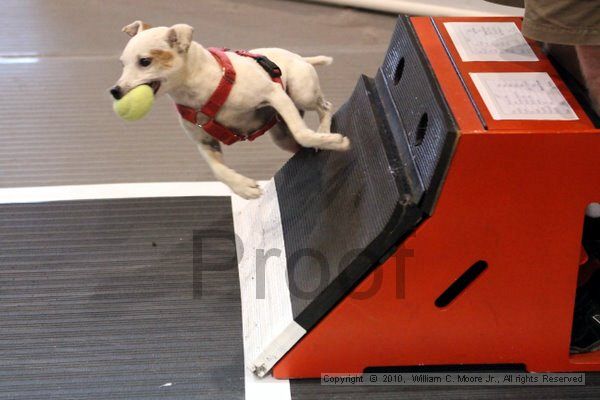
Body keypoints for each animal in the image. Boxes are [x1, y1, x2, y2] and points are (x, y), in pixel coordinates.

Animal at [111, 21, 352, 199]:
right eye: (122, 64)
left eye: (145, 61)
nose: (115, 91)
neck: (202, 87)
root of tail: (300, 57)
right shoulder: (205, 142)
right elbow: (219, 170)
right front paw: (243, 187)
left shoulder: (275, 95)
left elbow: (303, 133)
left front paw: (335, 142)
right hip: (282, 136)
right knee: (297, 140)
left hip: (302, 94)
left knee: (324, 107)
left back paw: (324, 132)